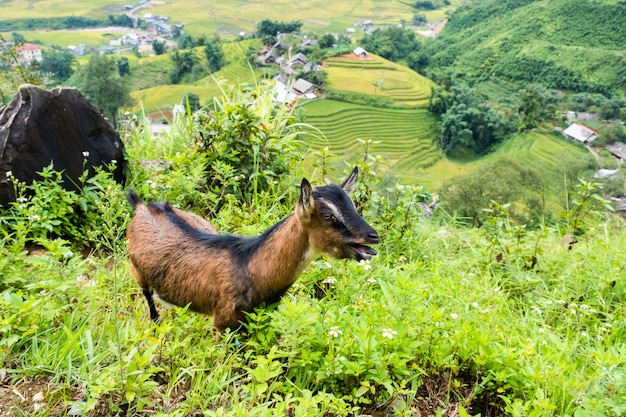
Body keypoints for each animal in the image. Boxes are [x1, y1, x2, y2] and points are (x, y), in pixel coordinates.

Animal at [125, 166, 378, 332]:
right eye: (328, 215)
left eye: (353, 206)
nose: (373, 236)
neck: (250, 266)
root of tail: (140, 206)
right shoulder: (223, 323)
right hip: (137, 272)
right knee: (148, 299)